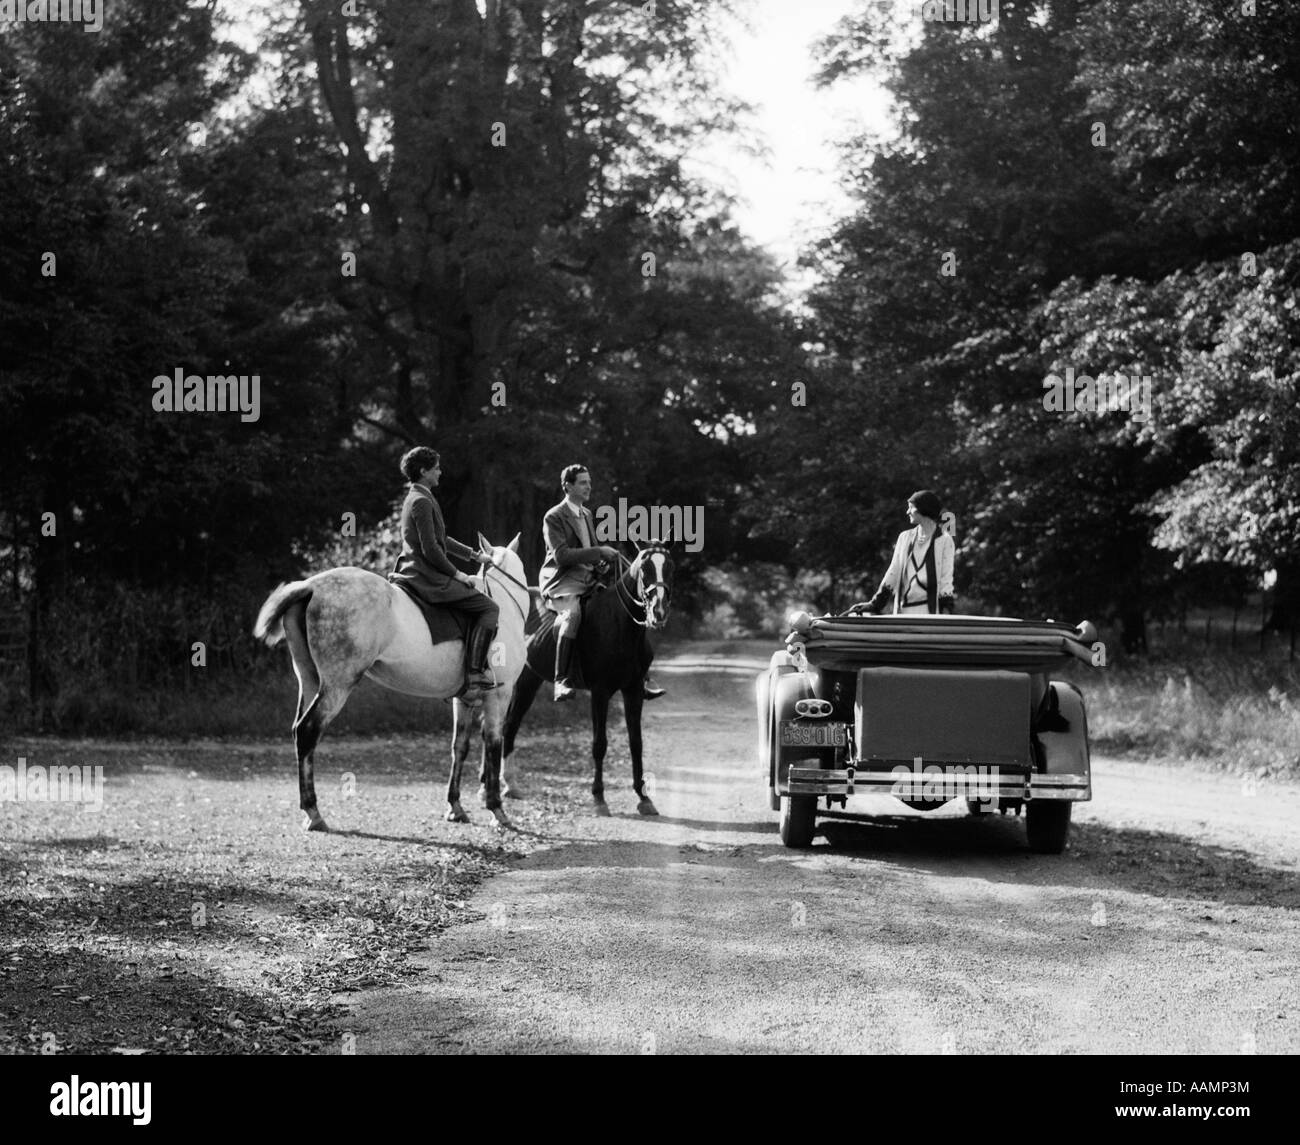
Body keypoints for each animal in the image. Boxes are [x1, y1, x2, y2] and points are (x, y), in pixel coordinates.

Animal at [253, 532, 527, 836]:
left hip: (311, 680)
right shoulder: (499, 697)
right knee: (307, 732)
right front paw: (497, 810)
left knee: (300, 733)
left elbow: (460, 747)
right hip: (337, 686)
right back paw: (314, 812)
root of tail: (310, 586)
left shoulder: (463, 700)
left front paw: (455, 807)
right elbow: (493, 745)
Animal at [501, 543, 676, 810]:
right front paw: (598, 796)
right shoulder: (600, 692)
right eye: (644, 569)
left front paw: (643, 797)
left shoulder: (633, 690)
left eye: (669, 567)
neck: (620, 623)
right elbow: (599, 743)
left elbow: (636, 742)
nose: (659, 611)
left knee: (509, 725)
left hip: (528, 680)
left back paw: (507, 785)